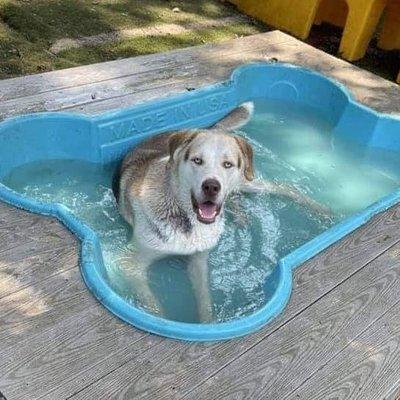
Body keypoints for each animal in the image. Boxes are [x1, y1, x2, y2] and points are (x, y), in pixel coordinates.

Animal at [113, 103, 328, 322]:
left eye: (227, 164)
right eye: (197, 160)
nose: (211, 187)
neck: (187, 219)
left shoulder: (199, 262)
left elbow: (205, 299)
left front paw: (208, 323)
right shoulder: (127, 263)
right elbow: (154, 307)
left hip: (246, 181)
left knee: (284, 188)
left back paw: (323, 210)